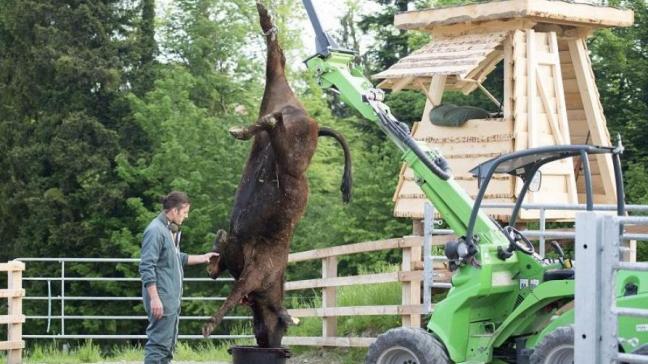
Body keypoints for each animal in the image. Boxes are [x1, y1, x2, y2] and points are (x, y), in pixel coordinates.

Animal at [202, 2, 352, 350]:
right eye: (282, 327)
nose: (270, 343)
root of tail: (310, 119)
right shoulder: (256, 271)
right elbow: (232, 289)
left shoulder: (252, 269)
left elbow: (230, 280)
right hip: (287, 142)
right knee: (275, 103)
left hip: (280, 117)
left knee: (276, 71)